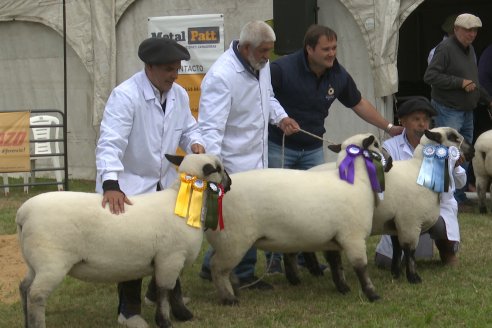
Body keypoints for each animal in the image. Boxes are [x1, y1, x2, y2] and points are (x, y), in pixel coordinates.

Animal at [15, 154, 231, 328]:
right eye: (219, 168)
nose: (229, 184)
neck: (184, 203)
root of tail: (22, 214)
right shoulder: (171, 257)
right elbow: (165, 292)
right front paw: (165, 321)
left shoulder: (170, 260)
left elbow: (175, 289)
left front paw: (183, 315)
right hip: (51, 262)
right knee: (36, 295)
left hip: (34, 261)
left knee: (24, 288)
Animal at [206, 132, 390, 304]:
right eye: (376, 144)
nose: (390, 161)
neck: (356, 181)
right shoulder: (353, 237)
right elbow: (361, 268)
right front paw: (372, 294)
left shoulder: (333, 240)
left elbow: (336, 265)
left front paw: (343, 288)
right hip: (234, 240)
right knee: (217, 268)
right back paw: (229, 298)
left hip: (225, 239)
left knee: (222, 267)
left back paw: (235, 289)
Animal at [310, 127, 474, 284]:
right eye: (452, 137)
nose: (472, 150)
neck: (419, 170)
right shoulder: (409, 222)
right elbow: (409, 251)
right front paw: (413, 278)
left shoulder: (395, 224)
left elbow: (397, 249)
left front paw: (396, 274)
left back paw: (315, 272)